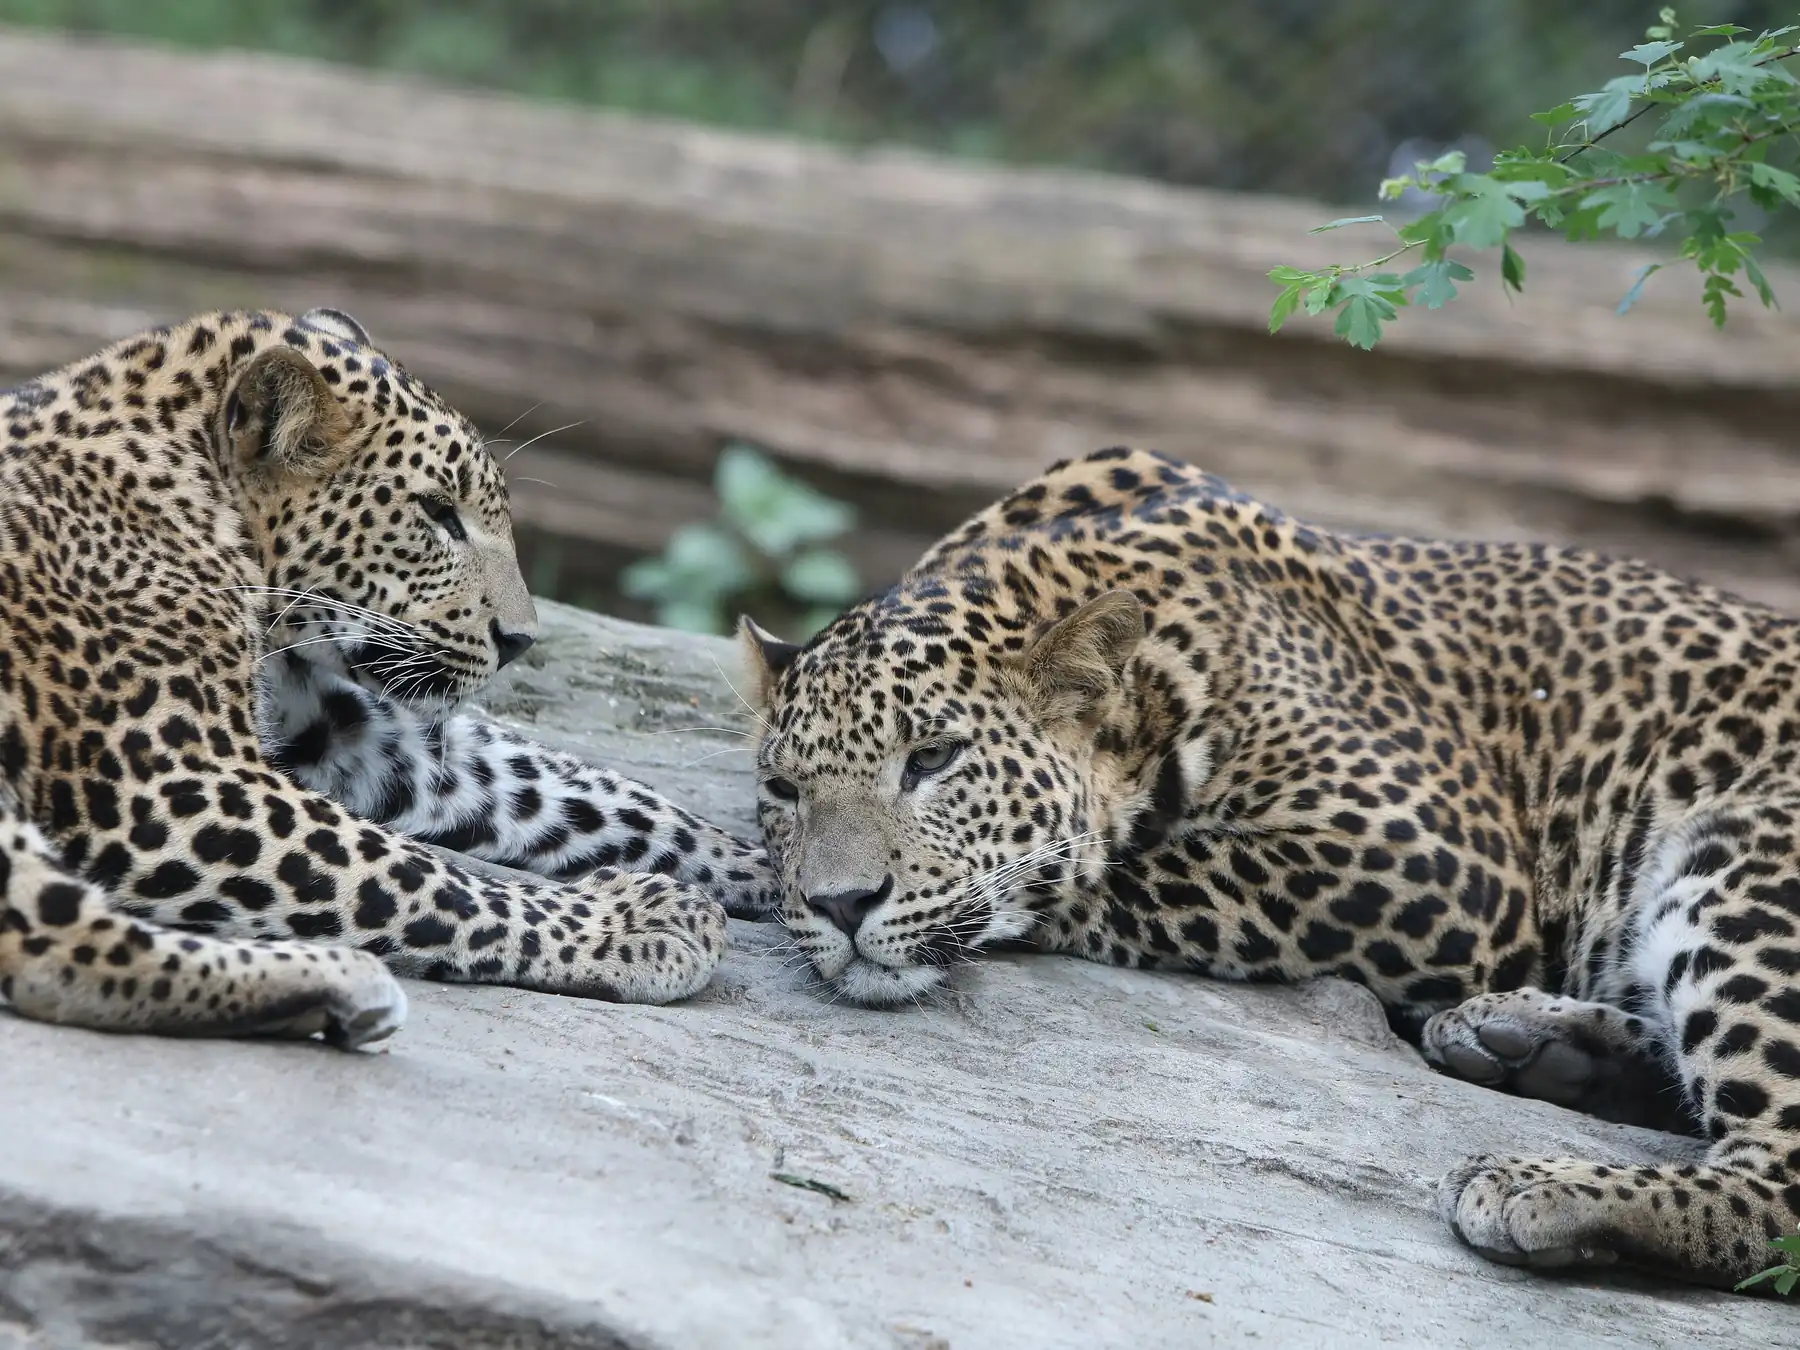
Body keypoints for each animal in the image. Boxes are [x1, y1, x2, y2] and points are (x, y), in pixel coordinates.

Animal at [0, 307, 773, 1052]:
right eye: (437, 513)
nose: (521, 641)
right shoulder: (166, 781)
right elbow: (420, 878)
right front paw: (632, 922)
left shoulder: (350, 734)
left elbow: (586, 793)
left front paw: (779, 863)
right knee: (54, 940)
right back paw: (342, 982)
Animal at [740, 445, 1800, 1292]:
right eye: (785, 788)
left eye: (932, 759)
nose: (840, 905)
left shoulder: (1436, 860)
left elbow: (1134, 874)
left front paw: (748, 879)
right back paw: (1525, 1043)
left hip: (1744, 863)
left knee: (1779, 1177)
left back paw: (1532, 1182)